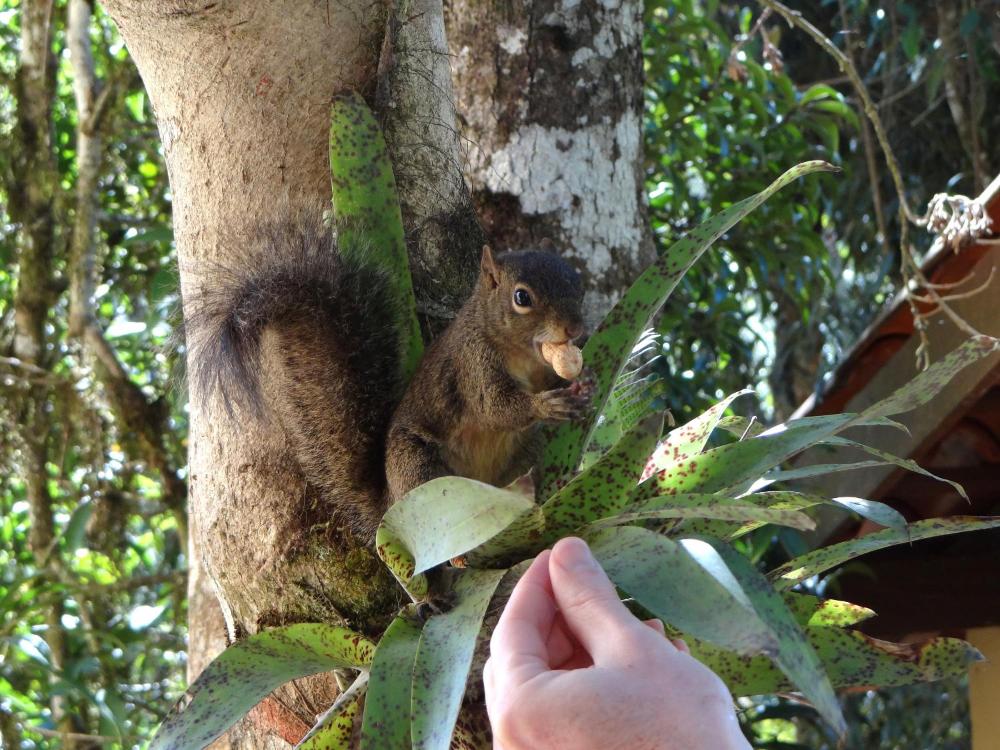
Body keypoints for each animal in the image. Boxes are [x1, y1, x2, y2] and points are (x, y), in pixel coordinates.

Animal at [188, 220, 588, 544]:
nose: (575, 329)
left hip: (523, 451)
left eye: (579, 285)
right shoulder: (472, 363)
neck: (523, 354)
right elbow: (494, 407)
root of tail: (388, 501)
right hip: (415, 465)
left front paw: (586, 383)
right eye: (522, 297)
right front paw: (545, 404)